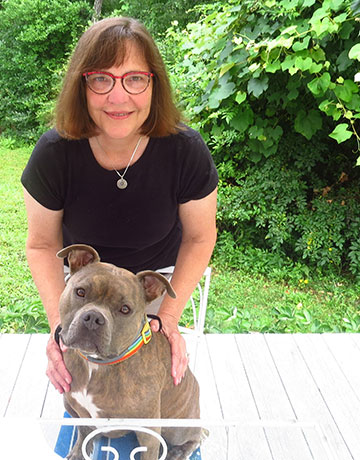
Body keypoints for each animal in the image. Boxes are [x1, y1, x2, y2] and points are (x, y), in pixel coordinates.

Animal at [57, 243, 207, 458]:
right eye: (80, 292)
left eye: (125, 309)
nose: (94, 318)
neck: (96, 365)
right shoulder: (75, 407)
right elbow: (83, 431)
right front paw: (79, 452)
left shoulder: (149, 434)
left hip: (177, 428)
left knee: (195, 436)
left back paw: (178, 452)